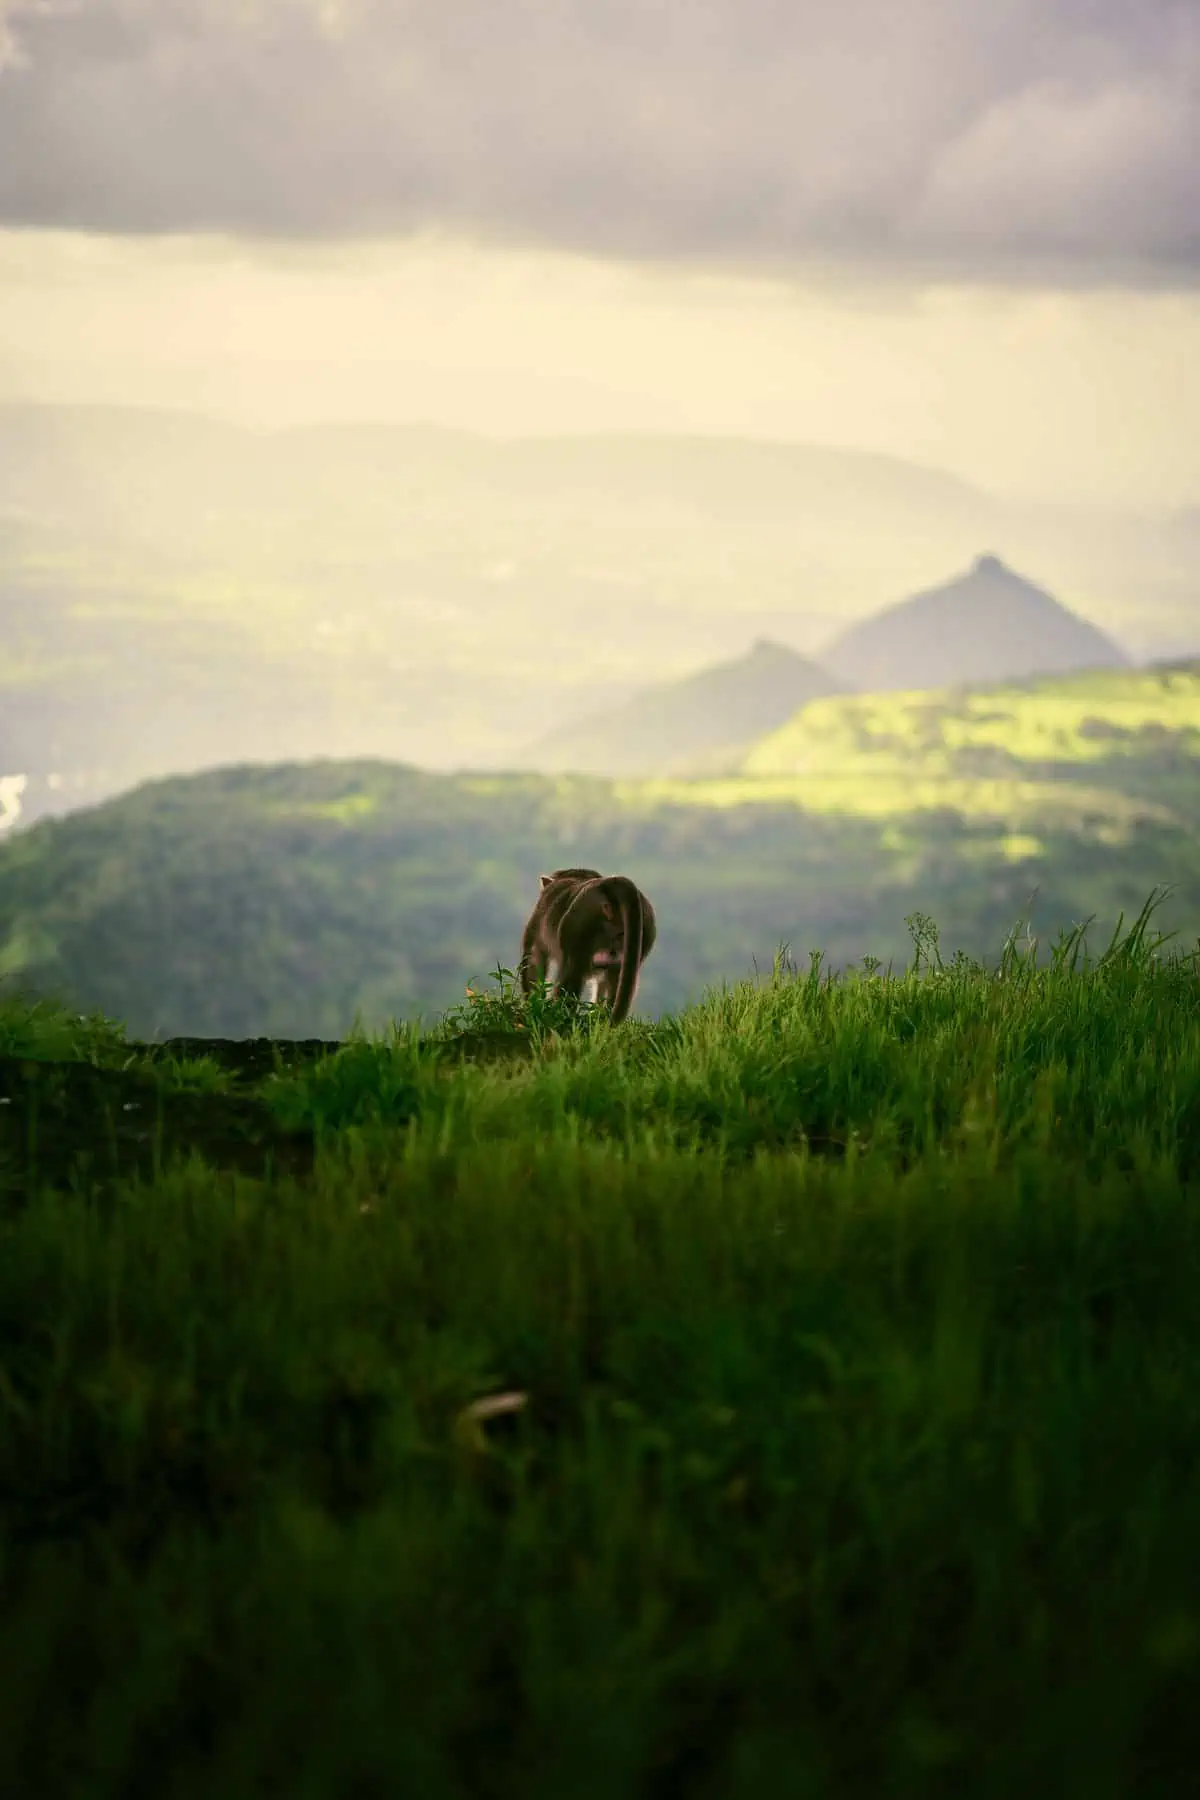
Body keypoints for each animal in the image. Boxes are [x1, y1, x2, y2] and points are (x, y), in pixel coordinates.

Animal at [521, 867, 662, 1029]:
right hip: (643, 929)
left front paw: (532, 1005)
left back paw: (558, 1017)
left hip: (579, 922)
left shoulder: (538, 918)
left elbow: (533, 957)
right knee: (616, 978)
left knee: (571, 974)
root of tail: (609, 883)